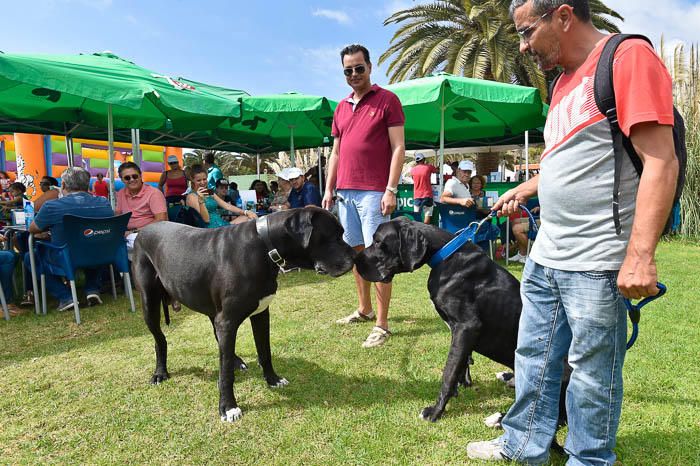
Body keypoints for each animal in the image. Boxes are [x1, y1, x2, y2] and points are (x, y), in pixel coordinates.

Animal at [132, 208, 356, 422]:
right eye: (334, 236)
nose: (356, 257)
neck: (264, 247)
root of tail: (141, 231)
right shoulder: (228, 321)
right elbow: (225, 373)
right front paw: (228, 407)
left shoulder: (261, 313)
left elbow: (264, 352)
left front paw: (273, 379)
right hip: (149, 303)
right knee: (160, 340)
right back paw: (160, 373)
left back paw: (236, 360)